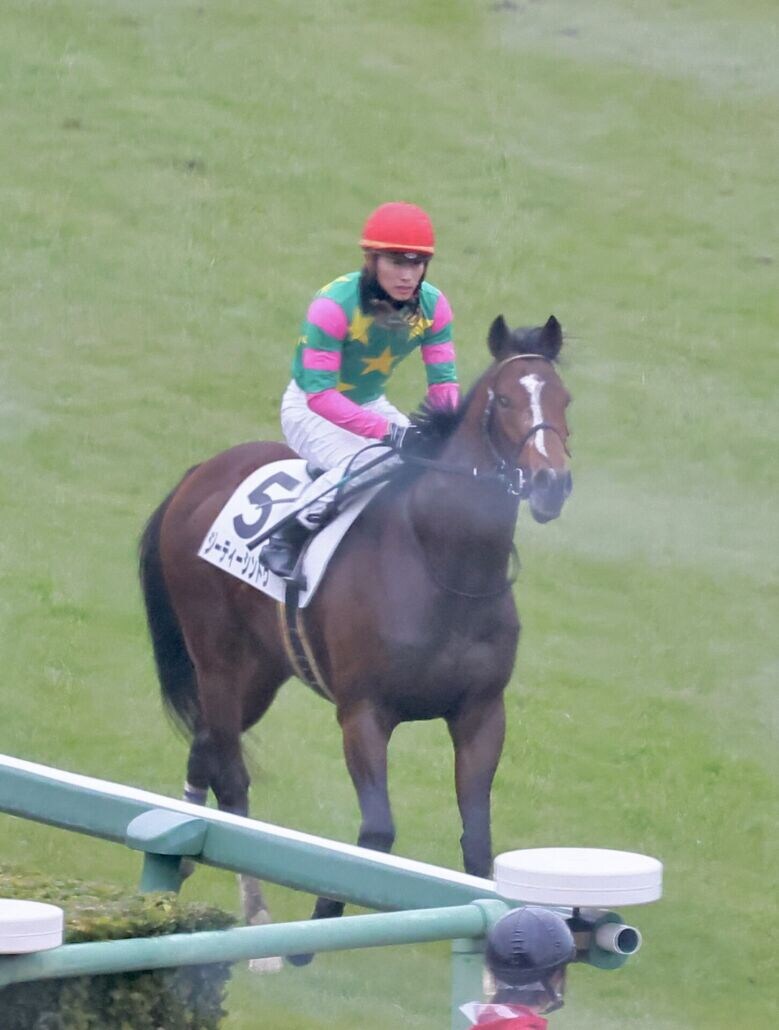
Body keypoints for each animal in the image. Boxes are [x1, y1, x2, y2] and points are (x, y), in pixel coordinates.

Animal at [138, 313, 572, 958]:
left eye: (565, 399)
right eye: (503, 399)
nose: (550, 483)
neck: (446, 567)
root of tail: (200, 472)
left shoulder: (481, 713)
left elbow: (477, 841)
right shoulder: (364, 712)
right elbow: (375, 832)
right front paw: (316, 929)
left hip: (260, 672)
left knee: (209, 742)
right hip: (214, 654)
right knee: (232, 775)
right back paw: (257, 913)